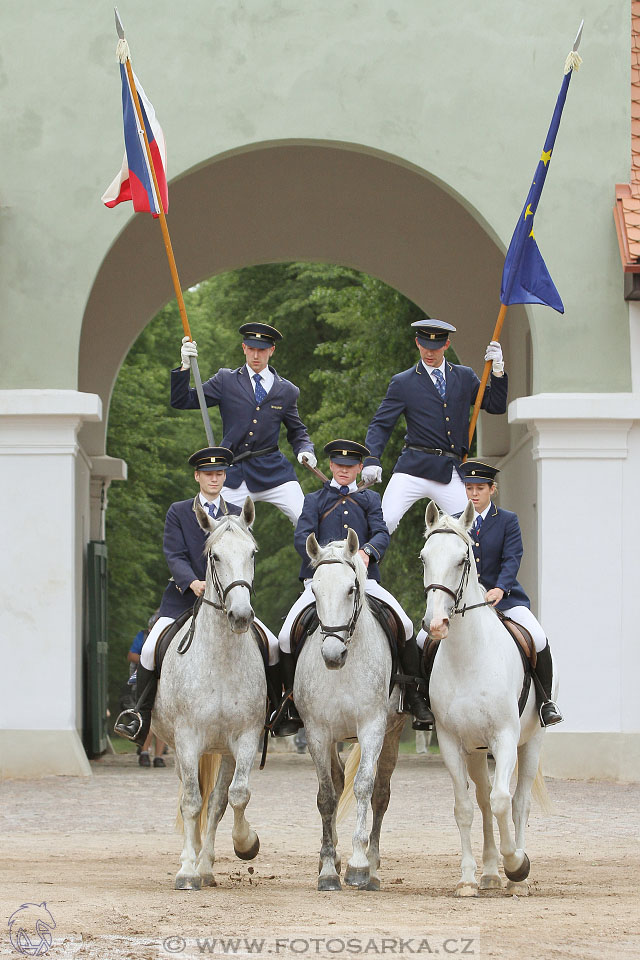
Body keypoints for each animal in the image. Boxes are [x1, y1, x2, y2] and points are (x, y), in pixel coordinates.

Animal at [151, 498, 264, 888]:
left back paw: (207, 866)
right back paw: (194, 863)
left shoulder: (245, 737)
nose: (240, 616)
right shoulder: (186, 739)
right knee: (192, 795)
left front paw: (246, 844)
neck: (221, 660)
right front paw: (186, 870)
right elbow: (190, 802)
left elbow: (237, 795)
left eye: (252, 553)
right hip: (182, 747)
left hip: (223, 750)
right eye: (214, 556)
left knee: (216, 801)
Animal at [294, 528, 402, 888]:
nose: (332, 655)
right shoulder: (317, 732)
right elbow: (327, 795)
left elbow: (364, 788)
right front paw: (329, 868)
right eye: (314, 590)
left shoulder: (372, 727)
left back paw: (373, 867)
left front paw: (357, 864)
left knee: (381, 794)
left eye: (351, 588)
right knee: (338, 782)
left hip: (393, 732)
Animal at [420, 498, 552, 896]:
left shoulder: (505, 737)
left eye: (462, 560)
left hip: (531, 742)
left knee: (517, 801)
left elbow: (502, 801)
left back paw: (516, 877)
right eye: (424, 557)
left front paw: (518, 865)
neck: (468, 657)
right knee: (481, 797)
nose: (435, 624)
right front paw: (467, 879)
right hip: (477, 751)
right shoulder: (450, 740)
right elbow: (465, 806)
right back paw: (491, 872)